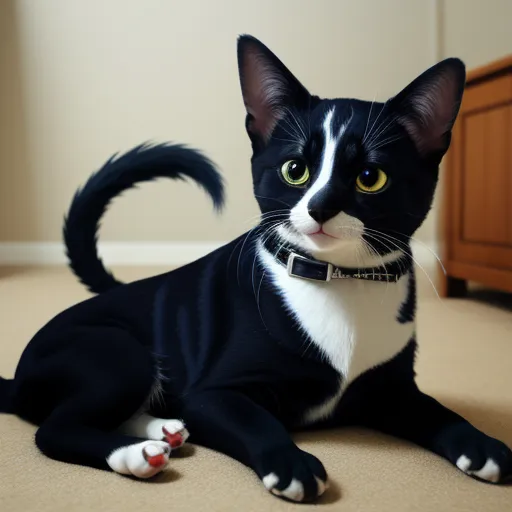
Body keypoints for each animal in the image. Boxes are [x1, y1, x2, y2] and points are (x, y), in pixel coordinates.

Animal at [1, 36, 512, 504]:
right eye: (295, 170)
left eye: (371, 177)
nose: (321, 207)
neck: (339, 280)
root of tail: (19, 375)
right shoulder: (212, 394)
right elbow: (256, 420)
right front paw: (292, 464)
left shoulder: (391, 390)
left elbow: (437, 411)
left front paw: (481, 444)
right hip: (118, 351)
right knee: (54, 428)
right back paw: (135, 453)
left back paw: (165, 430)